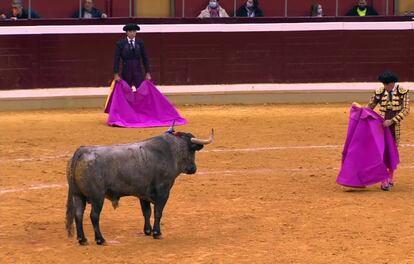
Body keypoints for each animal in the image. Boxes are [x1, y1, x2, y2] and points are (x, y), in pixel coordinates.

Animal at [65, 128, 213, 245]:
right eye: (192, 150)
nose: (193, 169)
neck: (172, 150)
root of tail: (82, 151)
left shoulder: (143, 193)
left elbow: (146, 212)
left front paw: (148, 231)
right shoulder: (163, 191)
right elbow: (158, 212)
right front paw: (157, 233)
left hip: (78, 195)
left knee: (78, 214)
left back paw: (82, 239)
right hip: (97, 197)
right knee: (94, 216)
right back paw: (100, 240)